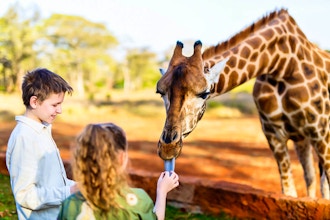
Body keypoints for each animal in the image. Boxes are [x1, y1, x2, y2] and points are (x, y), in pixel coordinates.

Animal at [156, 8, 330, 199]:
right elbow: (289, 192)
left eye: (204, 93)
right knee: (311, 177)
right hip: (301, 138)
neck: (281, 65)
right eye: (160, 92)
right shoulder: (274, 135)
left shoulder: (321, 132)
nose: (168, 148)